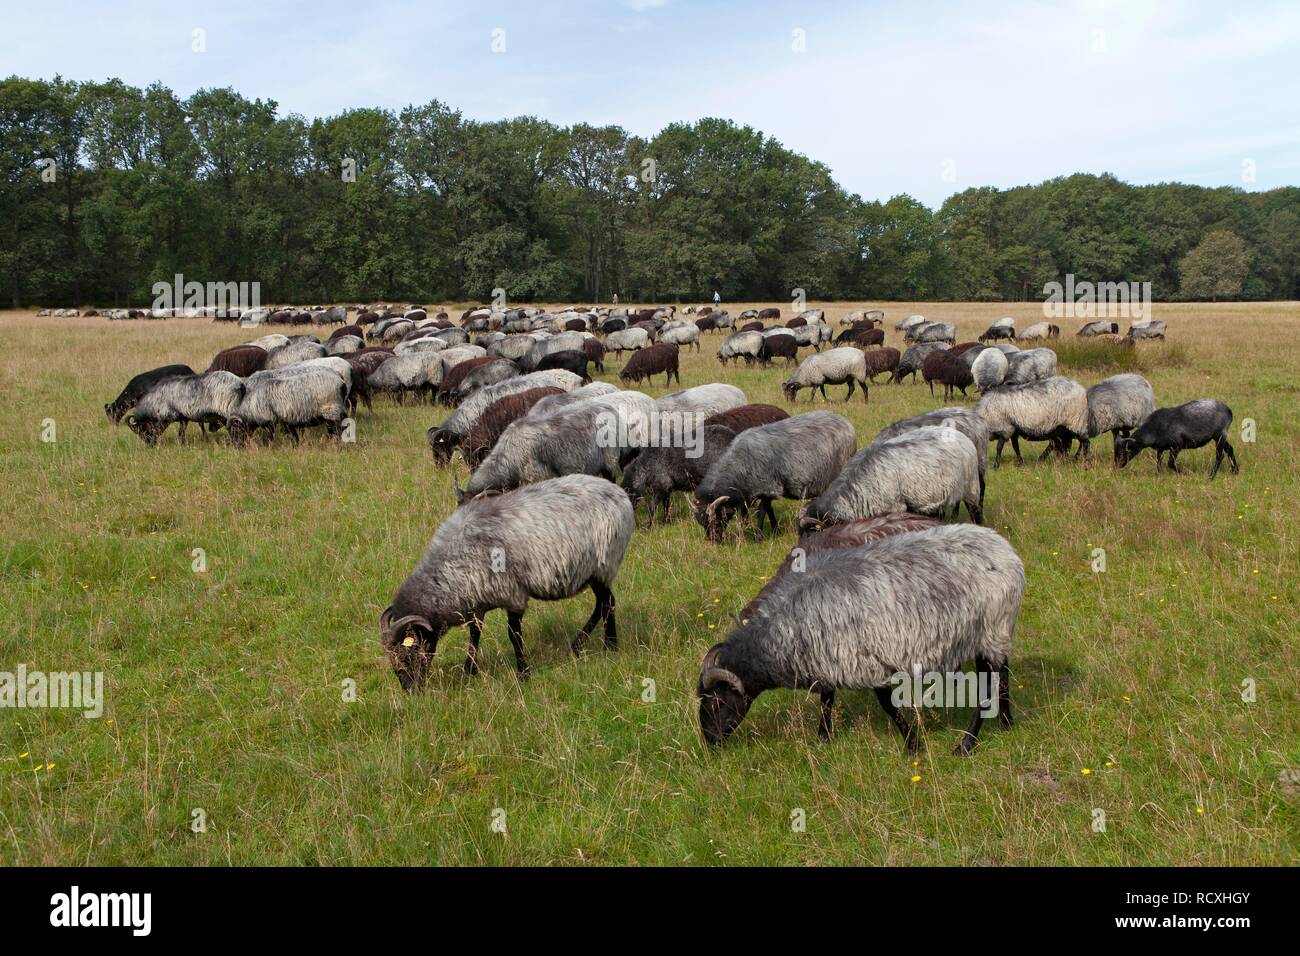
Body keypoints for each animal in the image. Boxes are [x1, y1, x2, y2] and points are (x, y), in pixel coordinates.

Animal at [381, 474, 633, 686]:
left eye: (406, 653)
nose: (410, 689)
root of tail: (619, 494)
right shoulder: (477, 600)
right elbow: (475, 633)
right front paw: (468, 671)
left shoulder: (513, 594)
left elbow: (513, 635)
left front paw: (523, 673)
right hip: (594, 571)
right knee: (603, 603)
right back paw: (584, 645)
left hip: (603, 564)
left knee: (607, 603)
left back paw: (608, 646)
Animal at [694, 412, 857, 541]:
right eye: (702, 523)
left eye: (717, 518)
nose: (714, 540)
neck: (739, 467)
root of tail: (847, 423)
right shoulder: (765, 490)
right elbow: (769, 510)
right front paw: (775, 530)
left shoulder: (769, 487)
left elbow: (762, 511)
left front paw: (758, 537)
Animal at [696, 524, 1024, 751]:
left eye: (716, 703)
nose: (709, 741)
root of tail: (1005, 550)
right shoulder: (829, 658)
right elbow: (827, 699)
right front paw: (823, 738)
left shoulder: (867, 662)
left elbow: (888, 706)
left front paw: (913, 744)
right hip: (993, 633)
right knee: (1004, 671)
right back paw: (1006, 721)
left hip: (990, 628)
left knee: (987, 686)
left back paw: (966, 745)